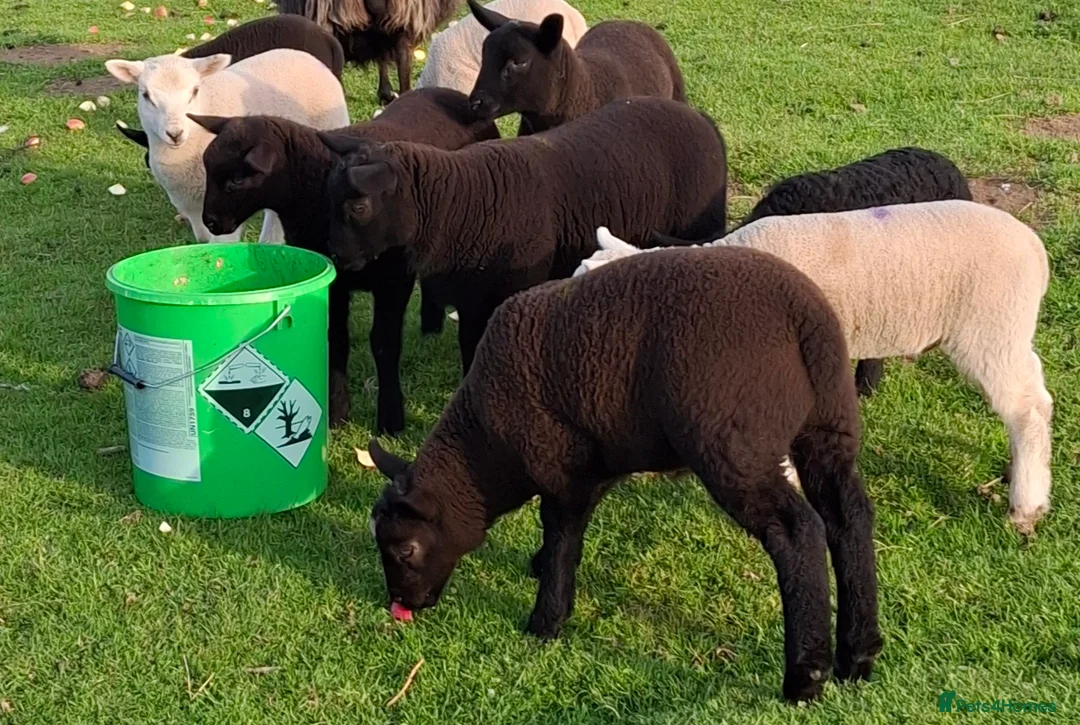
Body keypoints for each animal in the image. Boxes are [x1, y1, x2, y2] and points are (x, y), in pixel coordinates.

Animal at [105, 49, 348, 243]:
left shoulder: (224, 207)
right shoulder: (194, 210)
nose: (175, 134)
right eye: (146, 95)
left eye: (195, 91)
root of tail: (303, 55)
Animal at [190, 88, 499, 433]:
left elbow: (384, 343)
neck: (314, 192)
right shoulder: (332, 280)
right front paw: (337, 413)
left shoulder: (394, 281)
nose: (210, 222)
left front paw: (390, 419)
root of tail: (454, 95)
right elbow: (335, 340)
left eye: (236, 181)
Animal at [321, 96, 727, 374]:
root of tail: (699, 117)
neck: (460, 204)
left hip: (702, 228)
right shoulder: (471, 300)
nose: (336, 257)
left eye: (359, 207)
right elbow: (470, 348)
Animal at [365, 246, 882, 702]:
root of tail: (803, 318)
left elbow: (561, 537)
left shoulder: (558, 467)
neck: (486, 450)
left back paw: (805, 677)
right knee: (849, 517)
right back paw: (858, 655)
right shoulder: (592, 467)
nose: (402, 604)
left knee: (797, 532)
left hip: (734, 442)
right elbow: (566, 536)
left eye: (406, 549)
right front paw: (538, 569)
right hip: (828, 427)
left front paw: (545, 621)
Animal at [578, 200, 1054, 534]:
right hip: (1009, 331)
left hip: (990, 328)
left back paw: (1026, 506)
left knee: (1026, 410)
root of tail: (1036, 250)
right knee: (1038, 396)